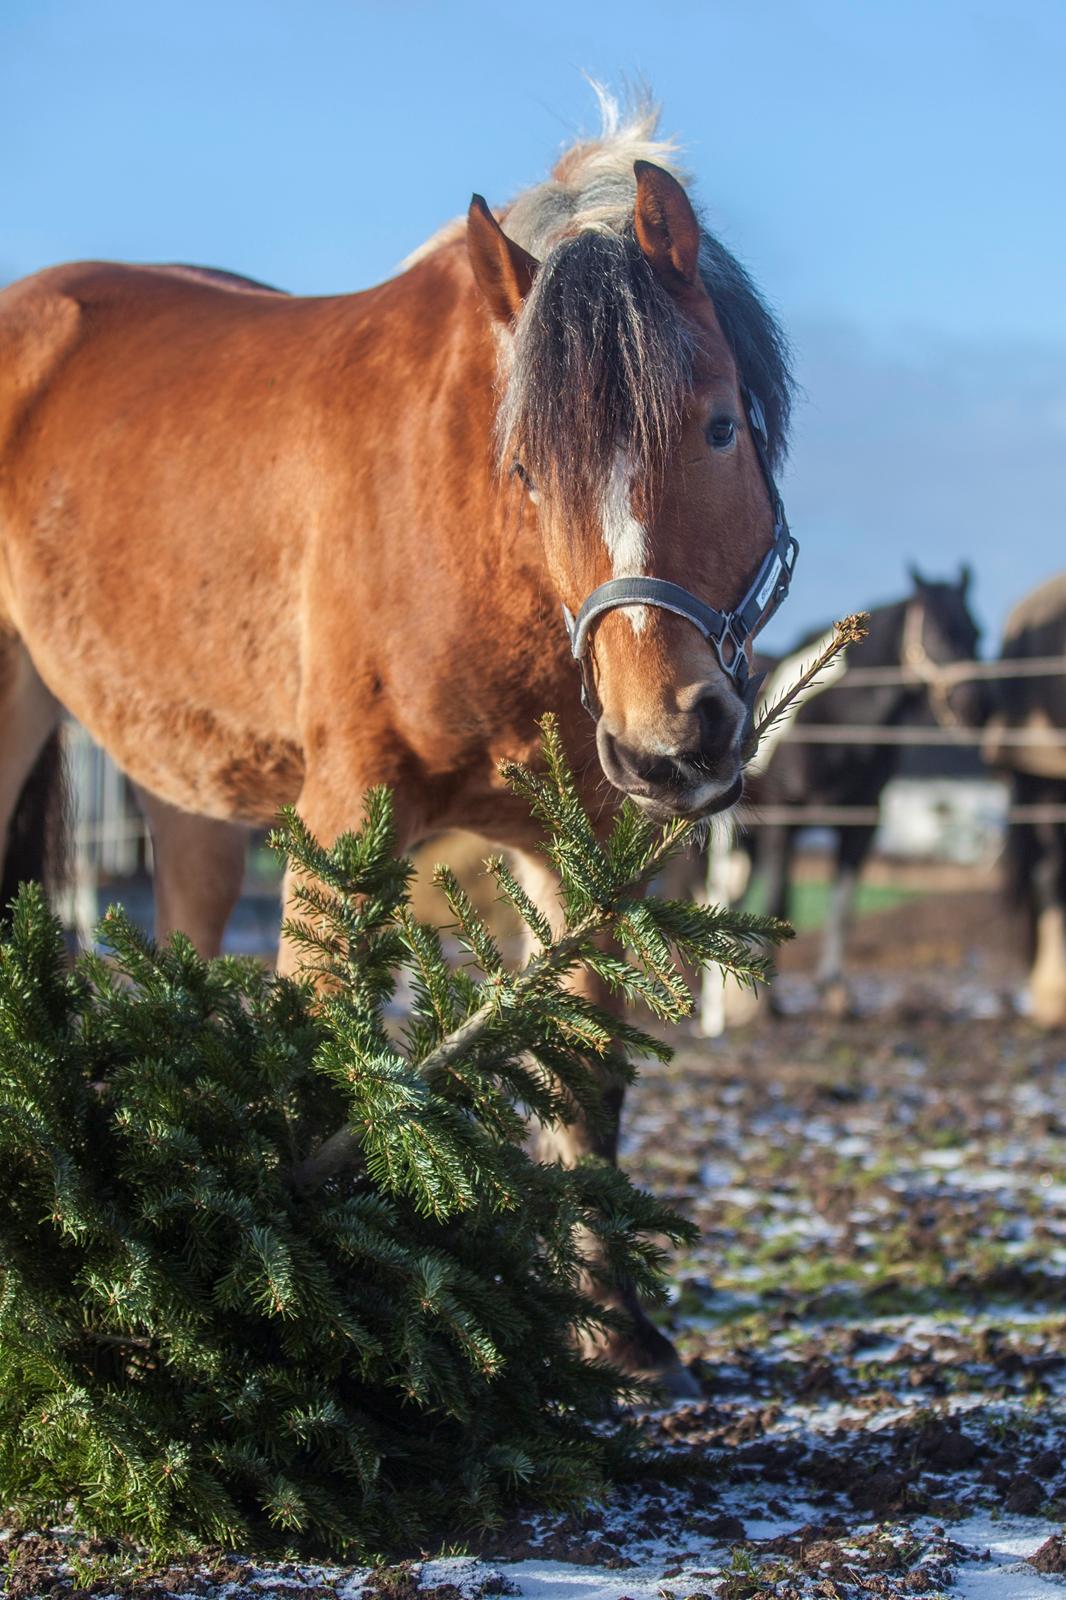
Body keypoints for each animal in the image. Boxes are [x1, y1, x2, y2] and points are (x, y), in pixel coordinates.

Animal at [0, 96, 793, 1388]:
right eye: (527, 469)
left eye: (721, 427)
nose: (670, 740)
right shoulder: (344, 829)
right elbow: (331, 1058)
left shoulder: (586, 849)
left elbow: (581, 1075)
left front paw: (616, 1330)